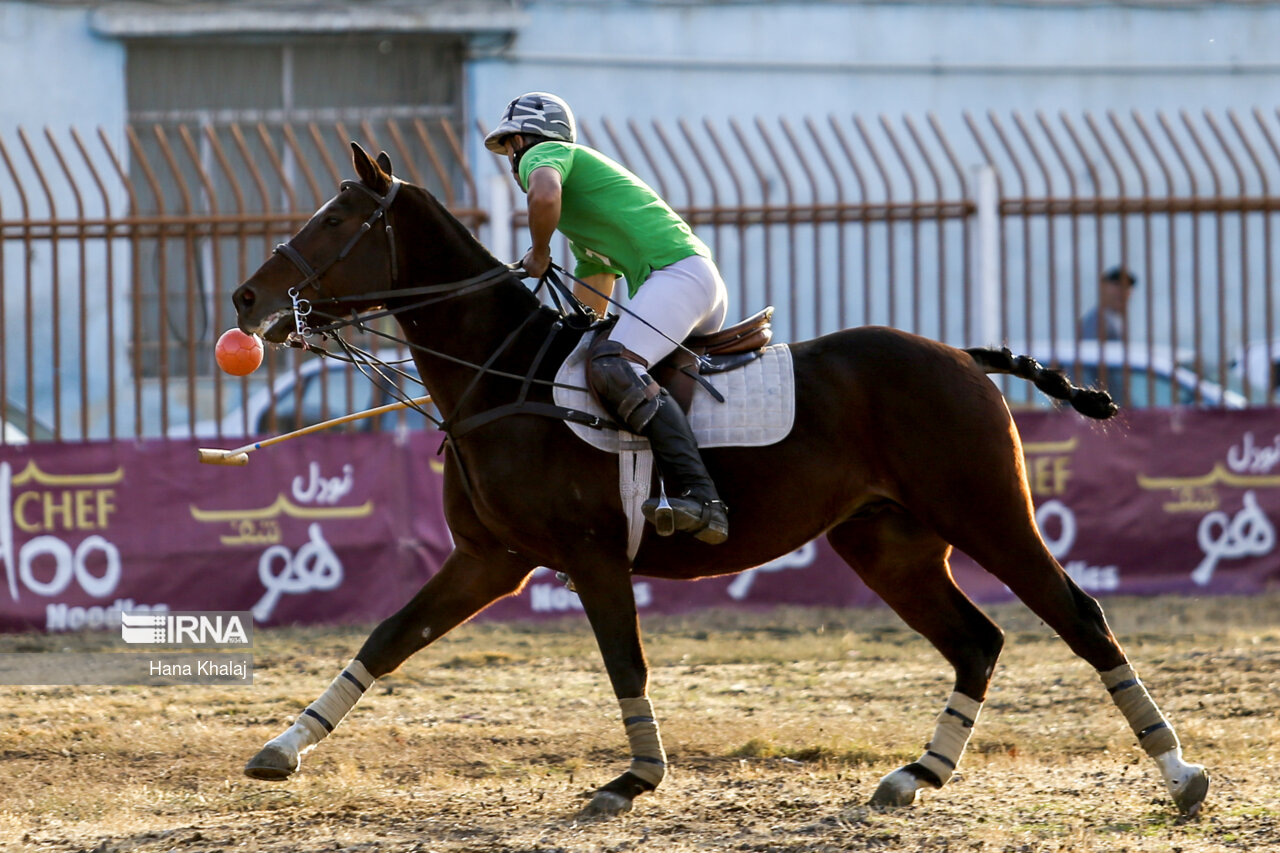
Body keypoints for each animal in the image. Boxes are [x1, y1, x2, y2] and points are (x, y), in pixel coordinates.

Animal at [232, 144, 1208, 819]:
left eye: (335, 220)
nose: (246, 301)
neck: (499, 376)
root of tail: (964, 356)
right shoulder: (490, 558)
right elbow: (389, 634)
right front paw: (283, 746)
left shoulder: (590, 554)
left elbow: (625, 659)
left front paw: (634, 776)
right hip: (886, 541)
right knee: (977, 639)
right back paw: (918, 772)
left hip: (988, 510)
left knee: (1078, 615)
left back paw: (1181, 773)